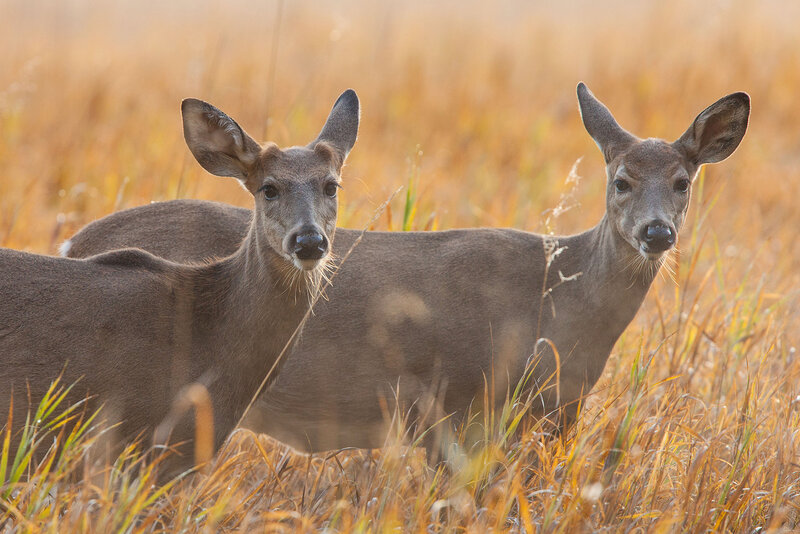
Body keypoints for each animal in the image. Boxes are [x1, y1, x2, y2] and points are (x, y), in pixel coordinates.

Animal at [63, 84, 749, 462]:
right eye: (622, 180)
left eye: (684, 181)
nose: (656, 232)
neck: (559, 301)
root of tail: (75, 241)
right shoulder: (454, 405)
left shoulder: (556, 413)